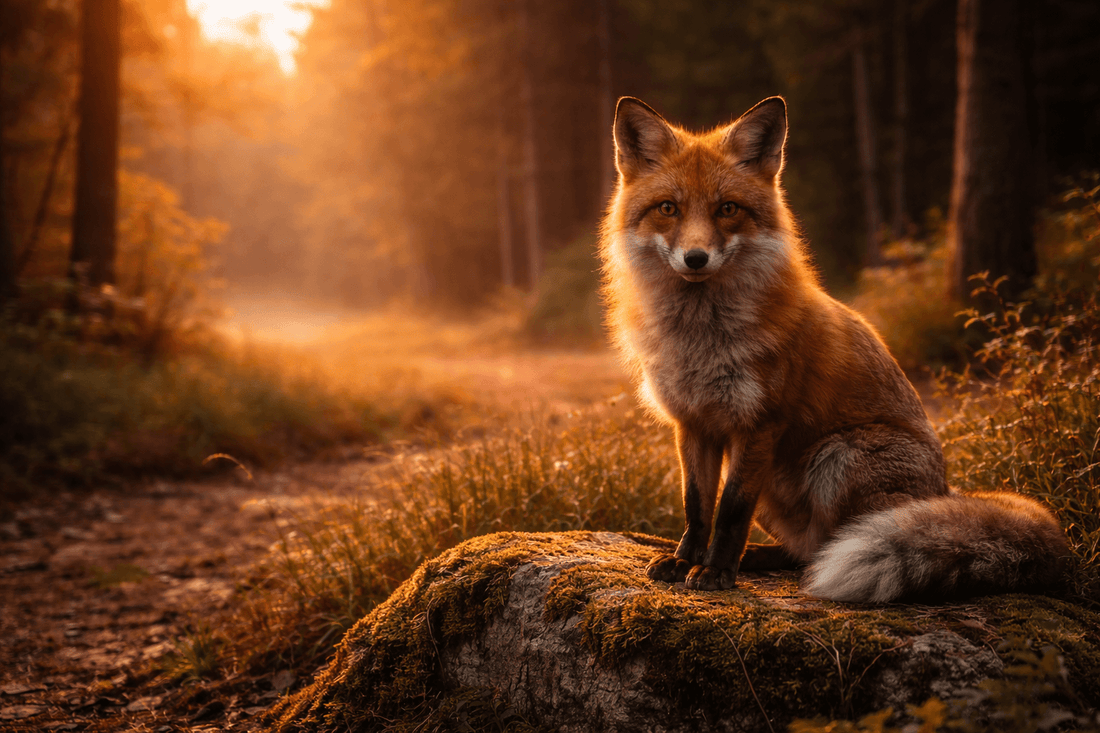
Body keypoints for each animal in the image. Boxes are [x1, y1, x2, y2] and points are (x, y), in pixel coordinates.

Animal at [599, 95, 1069, 603]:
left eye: (727, 209)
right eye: (668, 208)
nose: (696, 258)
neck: (700, 341)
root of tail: (944, 490)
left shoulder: (759, 424)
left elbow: (730, 512)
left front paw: (716, 571)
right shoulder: (692, 424)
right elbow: (697, 507)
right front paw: (685, 560)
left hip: (837, 458)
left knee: (827, 547)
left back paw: (766, 562)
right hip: (780, 488)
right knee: (805, 549)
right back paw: (758, 557)